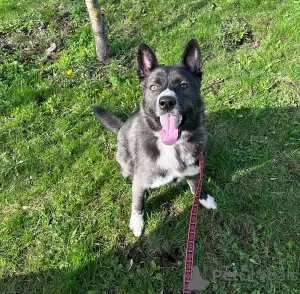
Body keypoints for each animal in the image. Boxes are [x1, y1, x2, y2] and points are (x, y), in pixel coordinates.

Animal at [92, 39, 217, 237]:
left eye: (183, 85)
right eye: (153, 87)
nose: (166, 102)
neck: (172, 146)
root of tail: (121, 127)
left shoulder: (194, 170)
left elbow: (196, 186)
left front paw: (205, 198)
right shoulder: (139, 183)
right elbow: (137, 203)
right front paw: (136, 223)